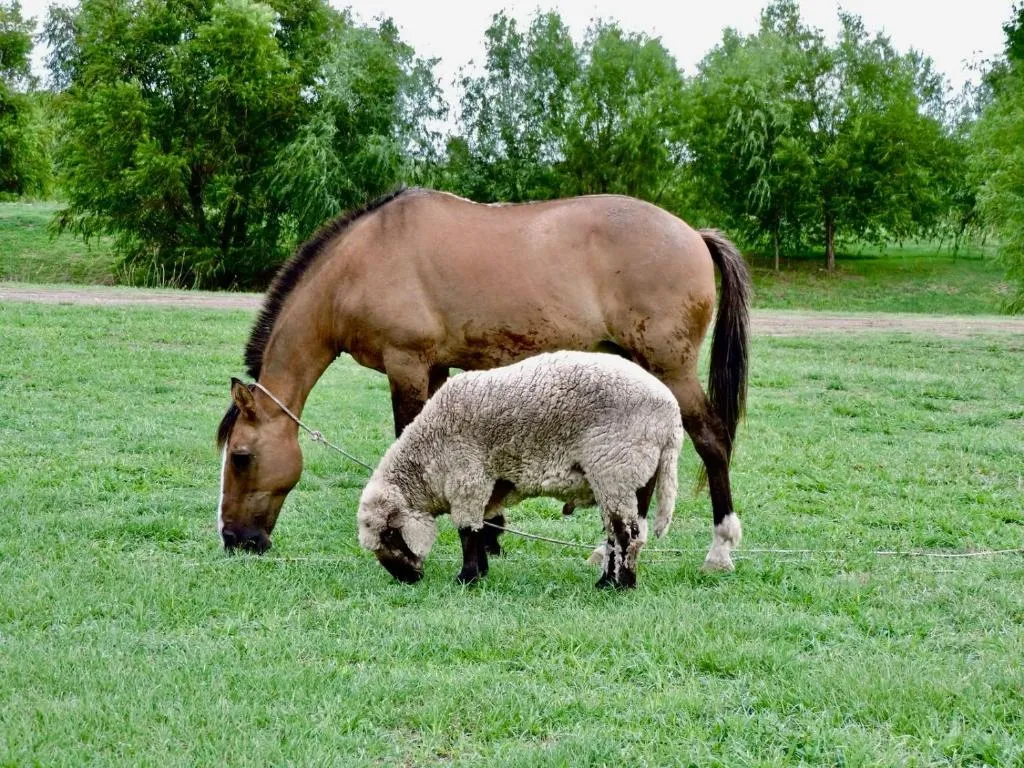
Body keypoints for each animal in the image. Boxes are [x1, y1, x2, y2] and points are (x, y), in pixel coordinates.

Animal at [357, 350, 685, 589]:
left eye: (389, 535)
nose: (407, 580)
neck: (427, 461)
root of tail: (671, 418)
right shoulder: (488, 487)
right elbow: (481, 527)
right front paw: (481, 572)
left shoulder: (467, 477)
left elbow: (467, 531)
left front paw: (466, 579)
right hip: (635, 478)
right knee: (620, 534)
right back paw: (606, 582)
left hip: (617, 467)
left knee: (626, 534)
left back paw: (621, 586)